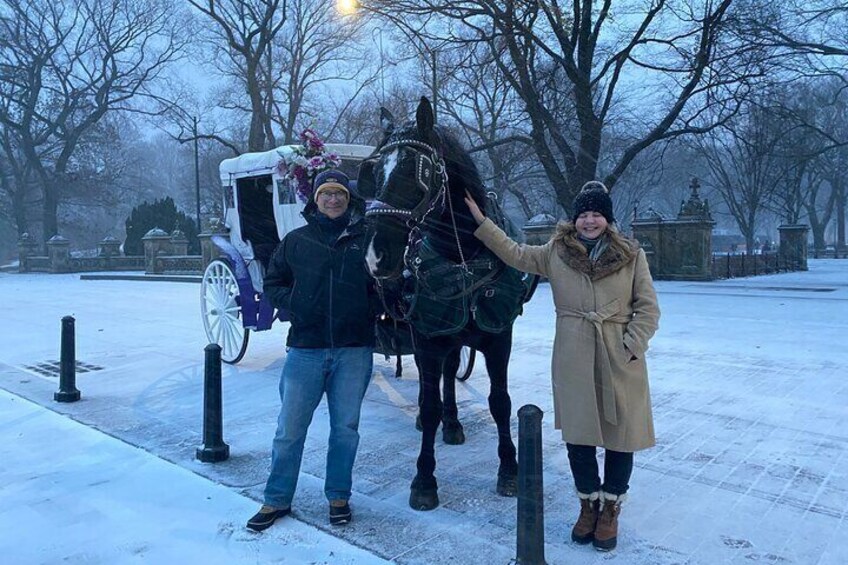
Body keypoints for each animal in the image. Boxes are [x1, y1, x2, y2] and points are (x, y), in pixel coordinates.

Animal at [358, 97, 528, 512]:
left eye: (415, 171)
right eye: (373, 172)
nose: (374, 256)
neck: (461, 257)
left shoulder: (498, 337)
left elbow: (500, 402)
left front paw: (509, 469)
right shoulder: (428, 336)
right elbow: (430, 404)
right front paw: (424, 479)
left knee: (451, 372)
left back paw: (453, 423)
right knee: (433, 380)